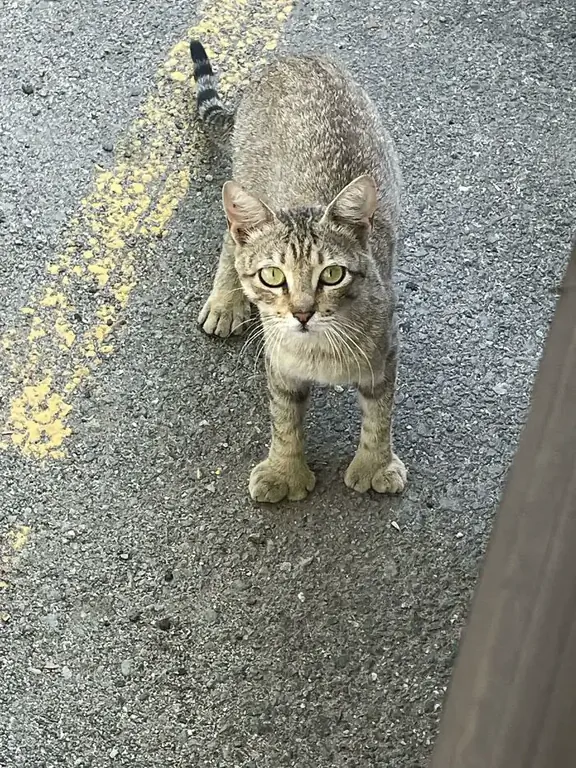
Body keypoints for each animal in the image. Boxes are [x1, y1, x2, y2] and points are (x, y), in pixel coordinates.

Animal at [189, 40, 404, 504]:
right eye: (273, 276)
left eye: (332, 275)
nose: (303, 312)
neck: (320, 349)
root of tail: (293, 57)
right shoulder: (281, 365)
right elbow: (284, 420)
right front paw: (284, 471)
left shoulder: (384, 357)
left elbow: (379, 416)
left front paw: (374, 464)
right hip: (244, 184)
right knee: (230, 241)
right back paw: (225, 301)